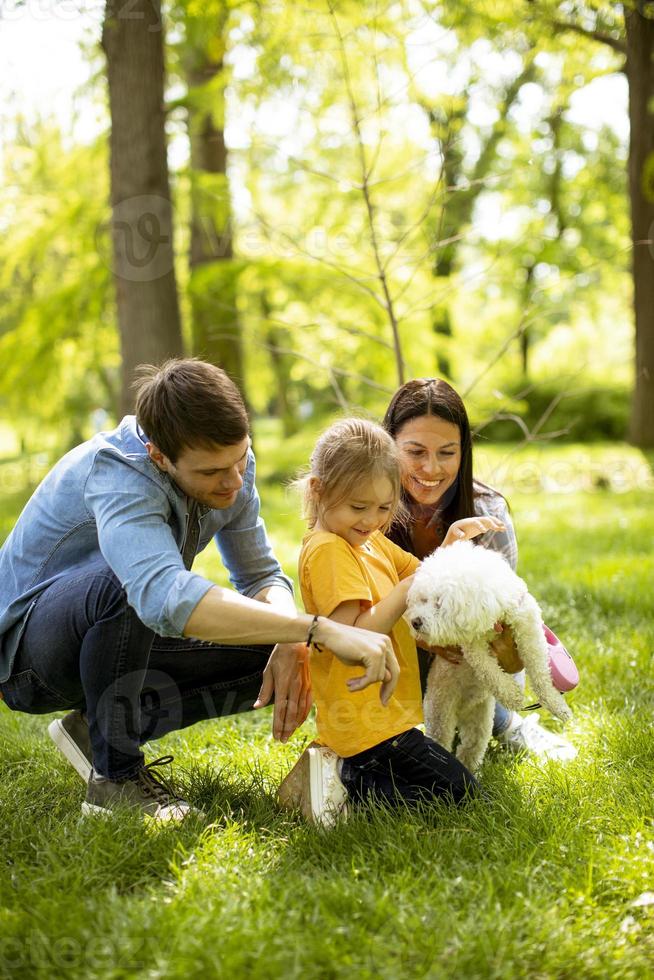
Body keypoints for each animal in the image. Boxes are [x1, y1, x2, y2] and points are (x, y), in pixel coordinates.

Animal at [408, 536, 572, 772]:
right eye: (422, 599)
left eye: (438, 603)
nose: (415, 622)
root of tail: (462, 712)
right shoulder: (472, 647)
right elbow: (489, 672)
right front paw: (512, 695)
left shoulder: (528, 626)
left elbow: (539, 669)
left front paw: (558, 706)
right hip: (440, 713)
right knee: (443, 741)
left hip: (480, 721)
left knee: (470, 748)